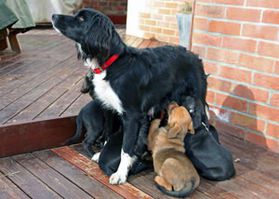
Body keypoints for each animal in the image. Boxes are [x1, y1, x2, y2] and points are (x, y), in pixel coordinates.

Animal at [52, 8, 209, 184]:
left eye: (81, 19)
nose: (53, 16)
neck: (112, 65)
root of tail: (195, 56)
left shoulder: (132, 116)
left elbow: (125, 148)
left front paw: (121, 173)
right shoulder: (109, 109)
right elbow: (108, 135)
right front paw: (102, 153)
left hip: (198, 98)